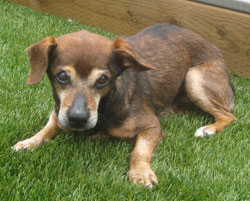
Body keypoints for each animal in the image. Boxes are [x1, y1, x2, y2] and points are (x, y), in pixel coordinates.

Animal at [12, 23, 236, 187]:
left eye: (103, 80)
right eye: (62, 76)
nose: (77, 118)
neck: (104, 108)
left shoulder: (152, 126)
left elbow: (139, 151)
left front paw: (141, 172)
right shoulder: (58, 111)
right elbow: (48, 127)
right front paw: (29, 142)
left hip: (194, 77)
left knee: (229, 115)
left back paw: (208, 130)